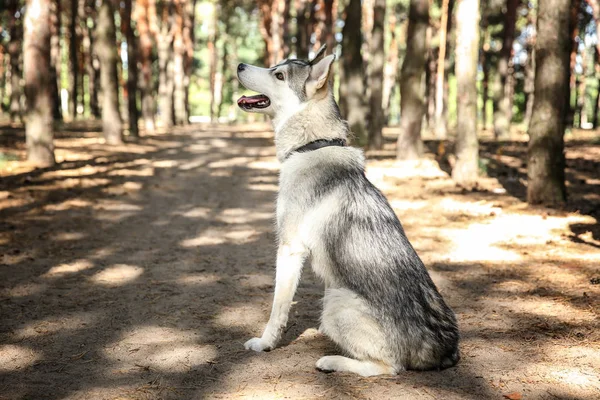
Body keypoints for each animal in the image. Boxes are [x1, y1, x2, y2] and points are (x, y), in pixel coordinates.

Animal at [236, 46, 460, 376]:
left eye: (278, 75)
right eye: (275, 66)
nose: (239, 64)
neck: (313, 144)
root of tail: (445, 349)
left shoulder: (289, 249)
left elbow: (277, 309)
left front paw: (265, 344)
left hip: (334, 302)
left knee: (390, 367)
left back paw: (331, 361)